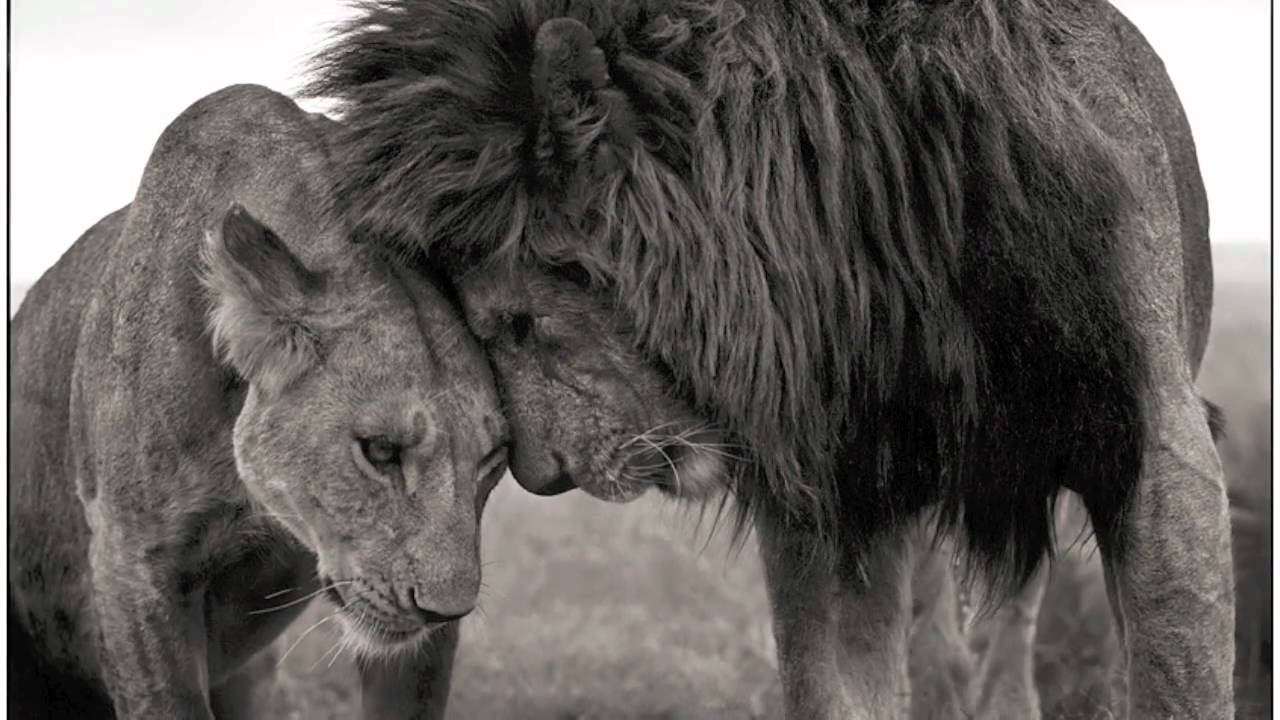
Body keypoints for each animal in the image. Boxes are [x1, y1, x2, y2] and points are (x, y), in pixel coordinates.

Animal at [307, 2, 1228, 712]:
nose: (539, 475)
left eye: (520, 323)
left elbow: (1178, 675)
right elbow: (835, 685)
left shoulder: (1158, 450)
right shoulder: (837, 496)